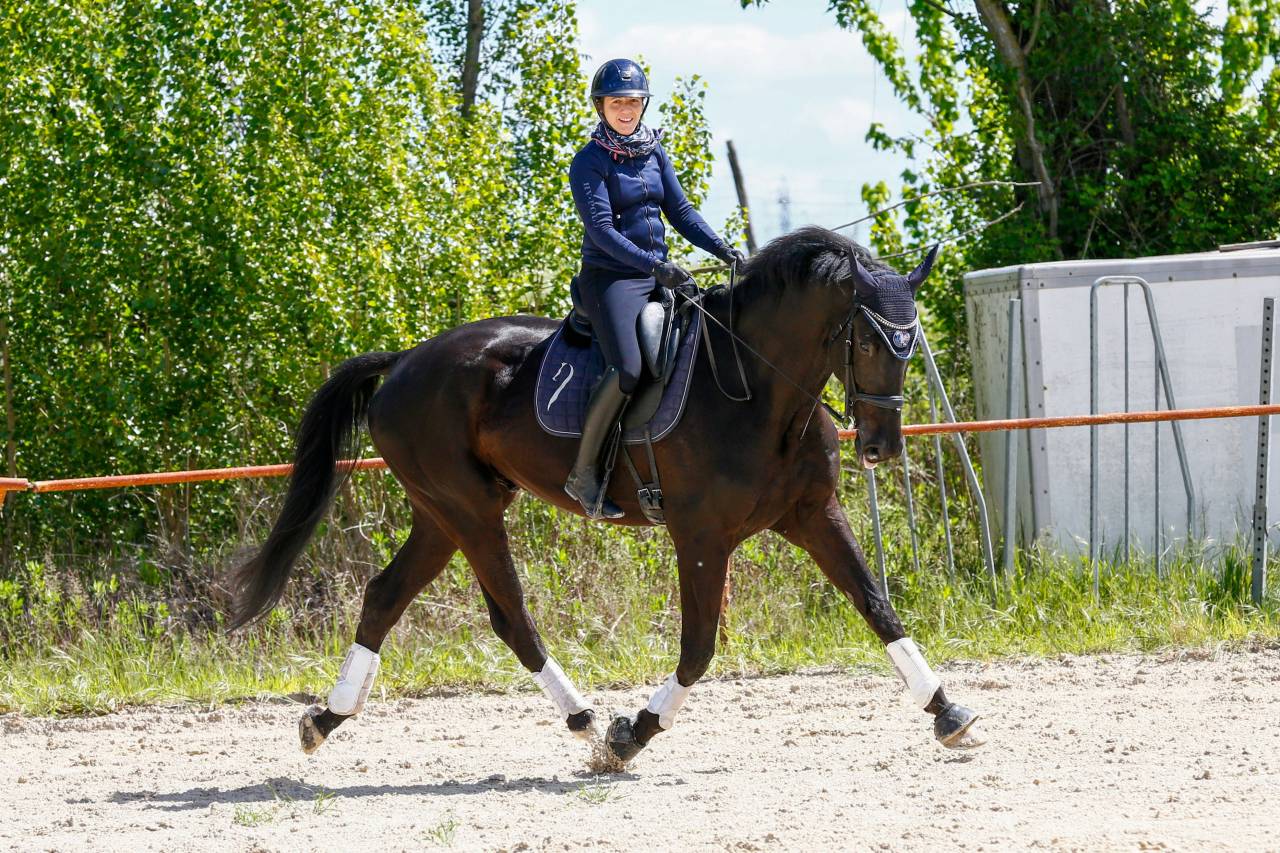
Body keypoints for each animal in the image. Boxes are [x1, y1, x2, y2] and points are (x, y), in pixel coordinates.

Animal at [229, 226, 984, 766]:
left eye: (910, 343)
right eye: (867, 341)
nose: (881, 447)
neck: (759, 390)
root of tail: (405, 361)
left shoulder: (813, 515)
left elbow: (878, 606)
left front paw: (949, 713)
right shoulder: (701, 537)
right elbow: (699, 646)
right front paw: (633, 734)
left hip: (441, 513)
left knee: (386, 596)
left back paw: (324, 719)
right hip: (468, 509)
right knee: (513, 618)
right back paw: (587, 723)